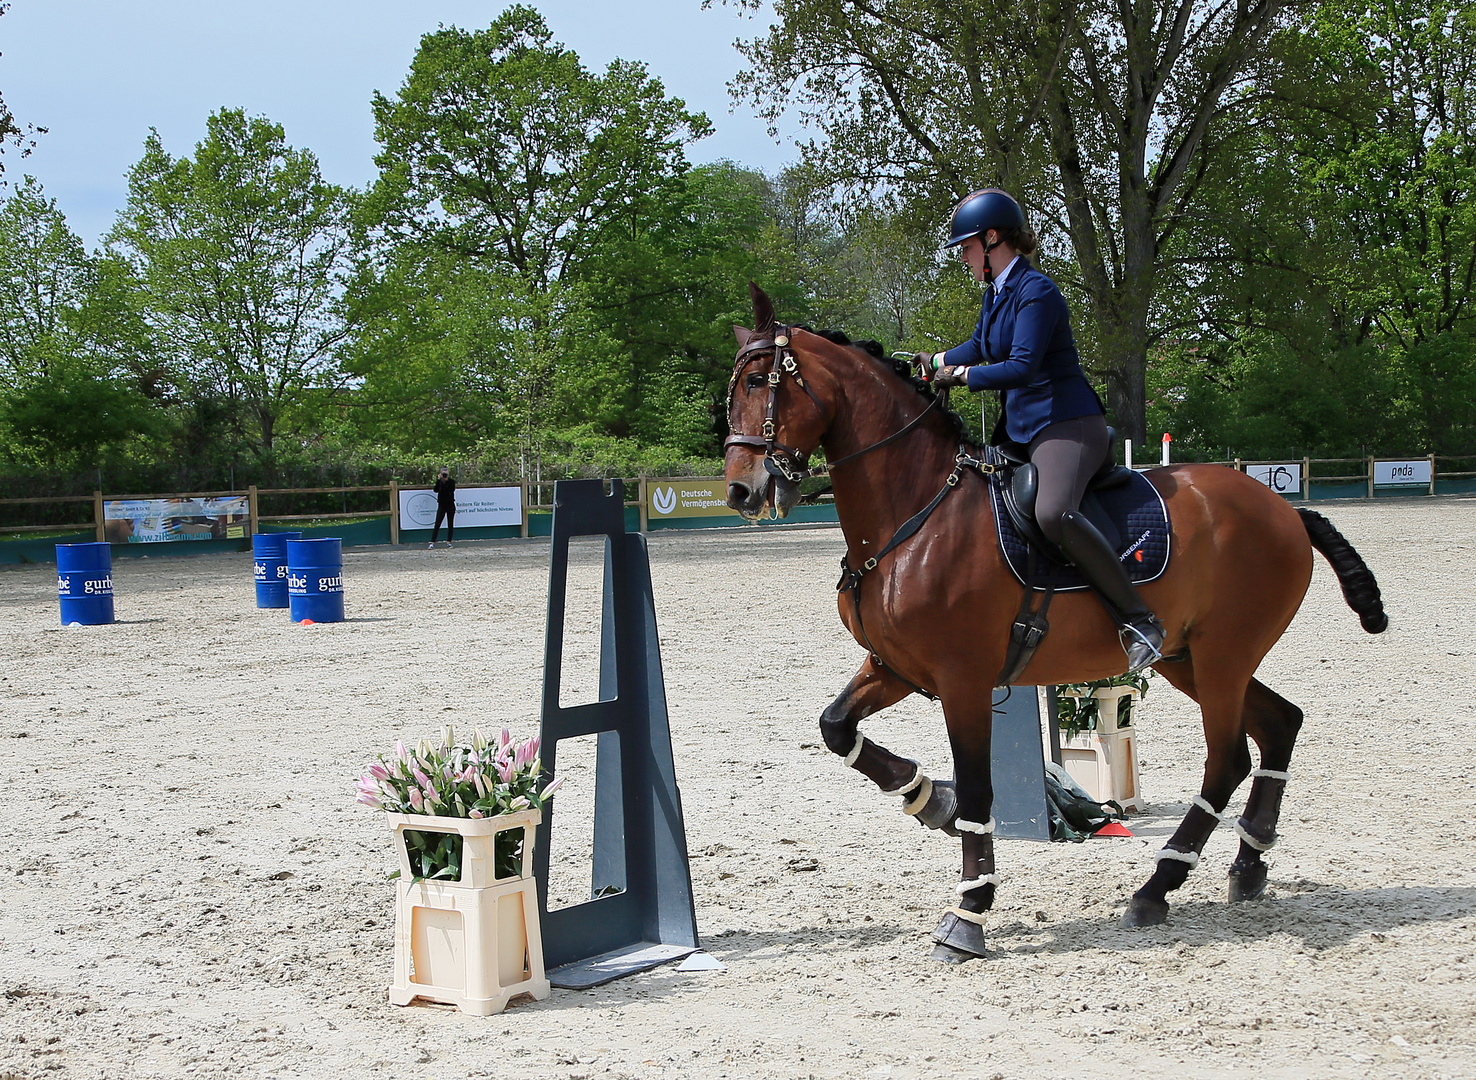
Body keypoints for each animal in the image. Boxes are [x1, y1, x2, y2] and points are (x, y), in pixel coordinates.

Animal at [720, 284, 1387, 961]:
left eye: (758, 382)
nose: (741, 492)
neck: (915, 512)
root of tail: (1284, 508)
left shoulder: (963, 681)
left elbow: (981, 791)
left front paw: (969, 913)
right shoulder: (895, 667)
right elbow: (836, 728)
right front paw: (931, 801)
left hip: (1223, 655)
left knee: (1226, 760)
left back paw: (1157, 886)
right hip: (1193, 660)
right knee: (1280, 724)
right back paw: (1246, 865)